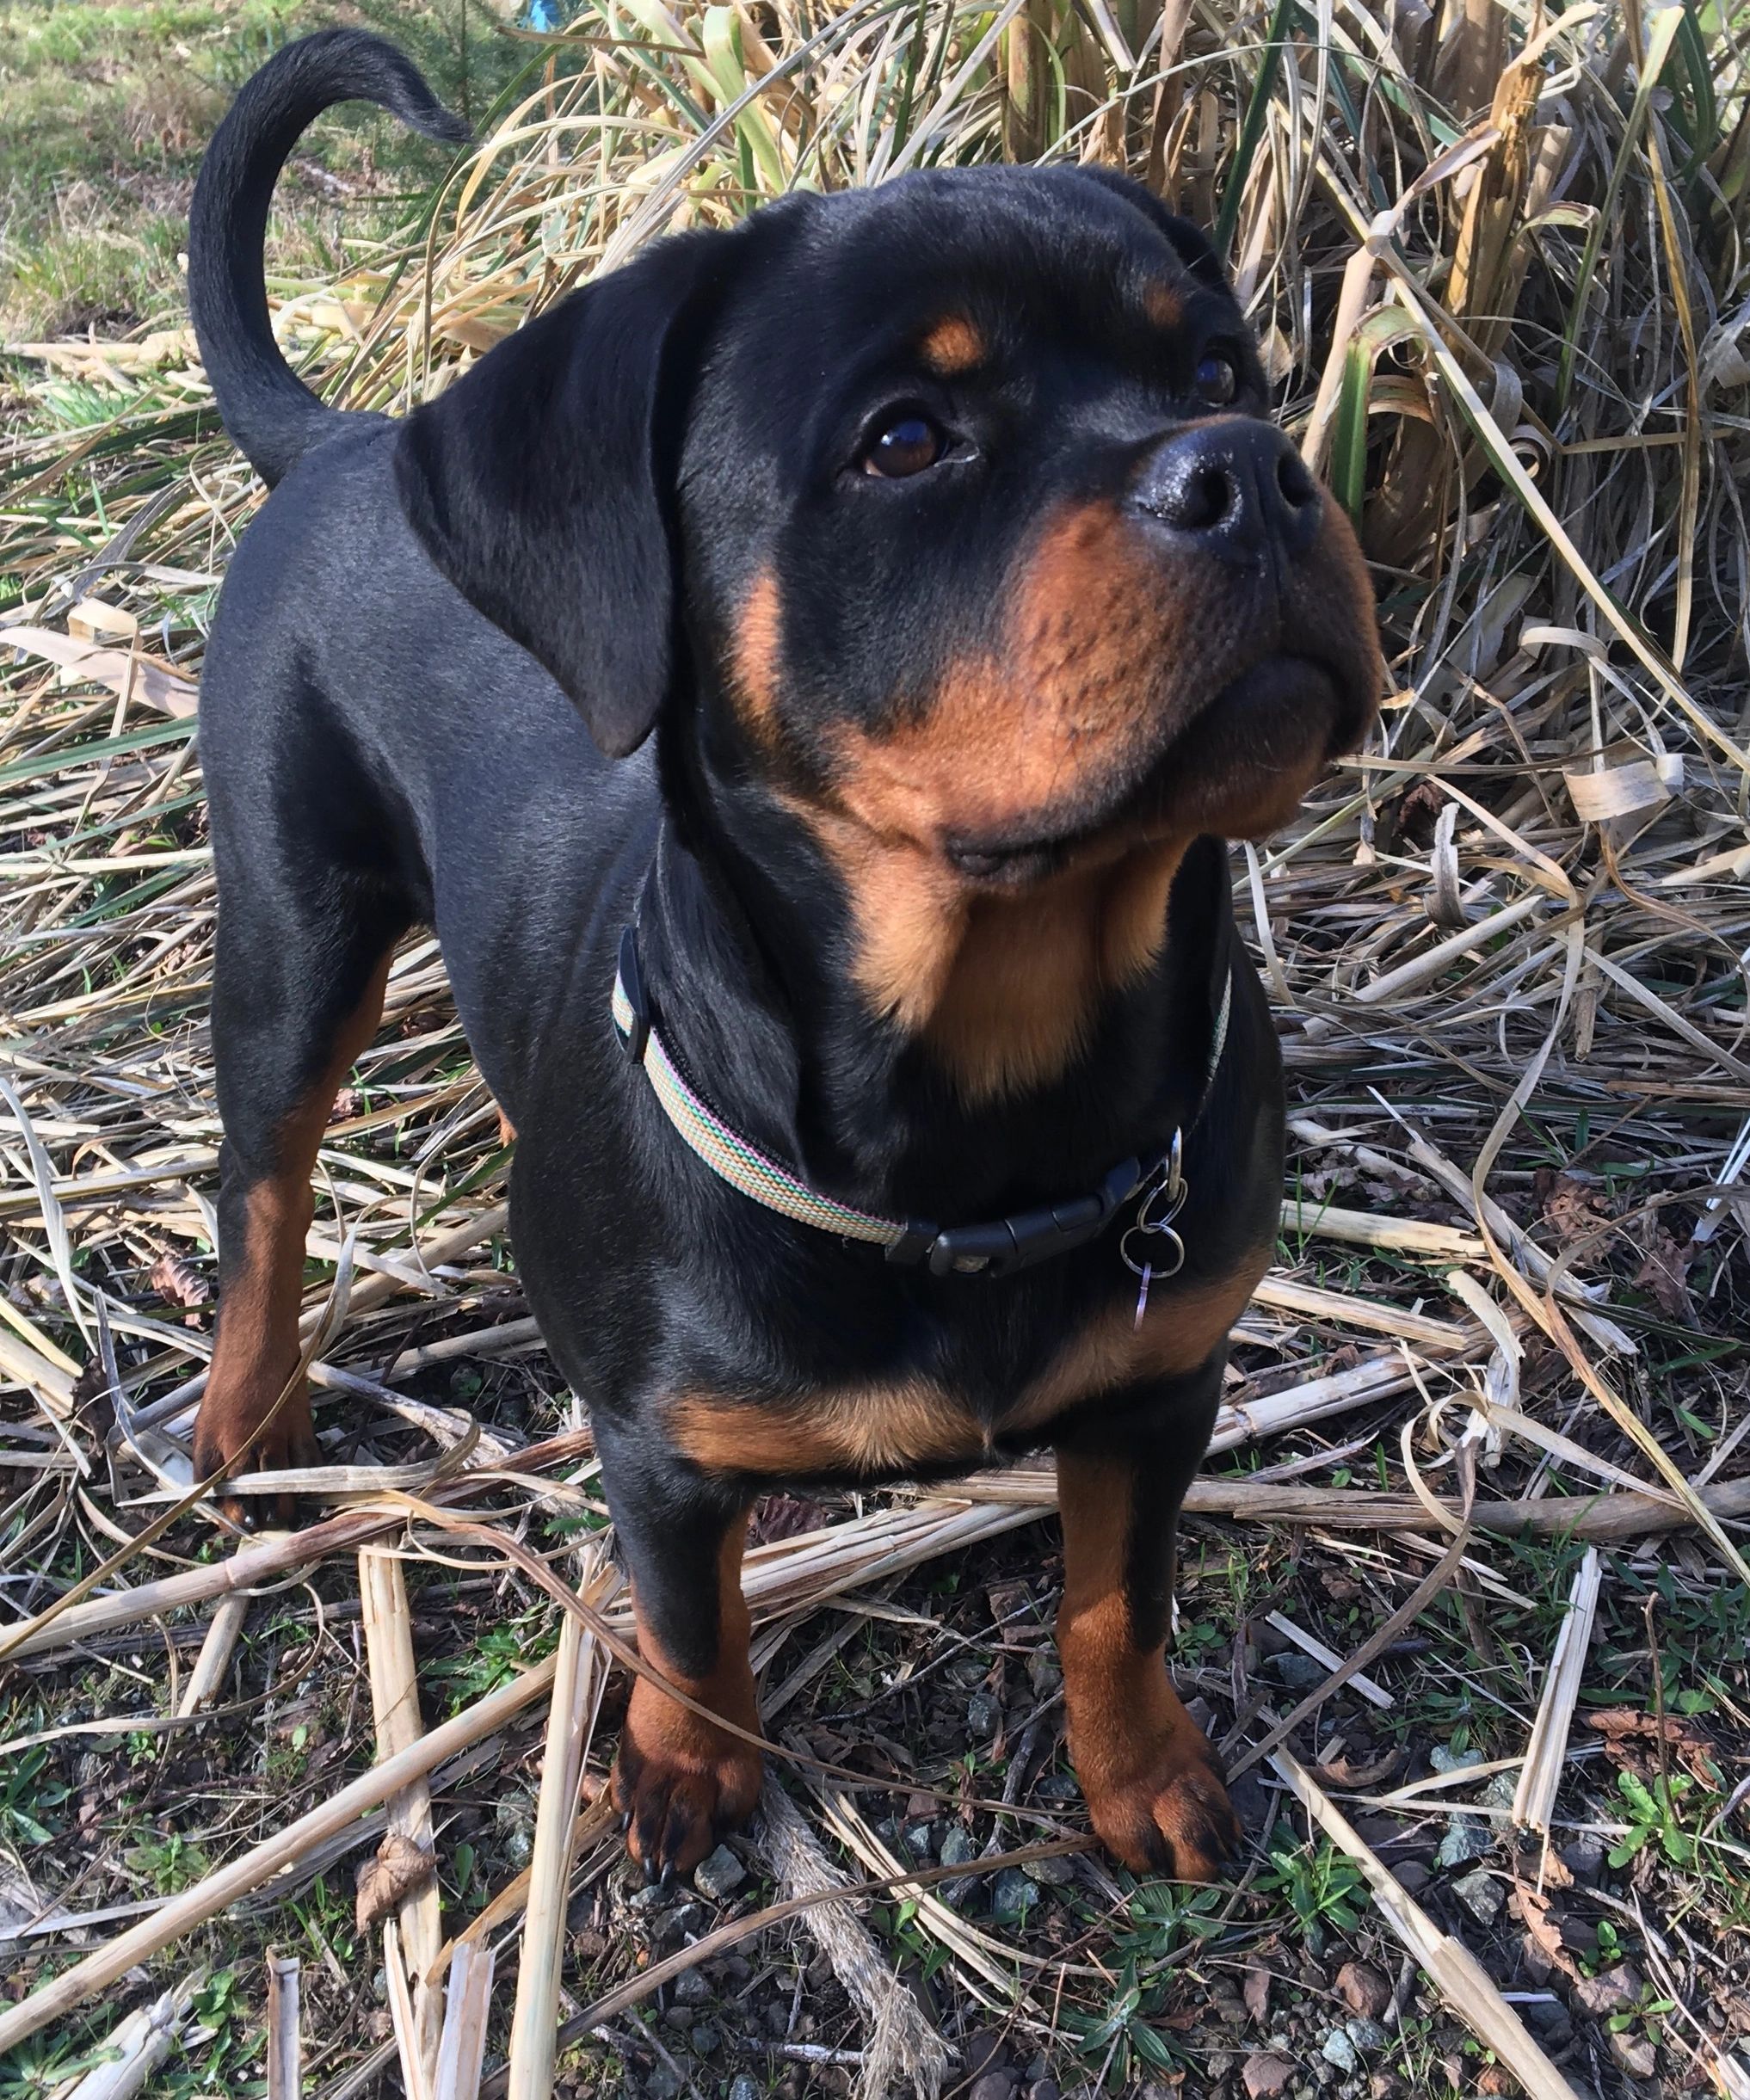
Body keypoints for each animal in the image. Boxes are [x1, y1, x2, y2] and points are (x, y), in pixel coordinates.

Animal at [180, 33, 1377, 1881]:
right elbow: (685, 1614)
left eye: (1216, 365)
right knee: (264, 1180)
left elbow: (1116, 1600)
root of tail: (345, 440)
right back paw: (248, 1415)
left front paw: (1140, 1770)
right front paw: (688, 1765)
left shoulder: (1162, 1388)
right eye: (905, 438)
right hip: (294, 936)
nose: (1244, 467)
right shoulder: (659, 1448)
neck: (982, 1084)